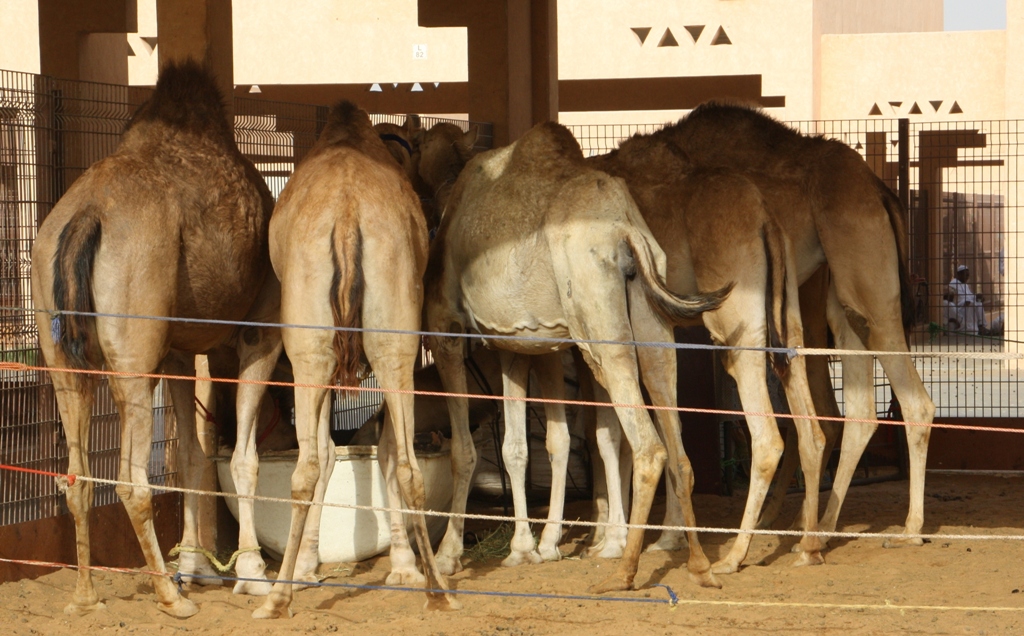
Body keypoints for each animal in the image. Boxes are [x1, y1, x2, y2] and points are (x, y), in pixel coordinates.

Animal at [30, 59, 282, 614]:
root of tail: (87, 214)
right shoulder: (261, 332)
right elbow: (242, 460)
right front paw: (252, 575)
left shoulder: (178, 352)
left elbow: (191, 457)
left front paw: (198, 566)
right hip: (133, 354)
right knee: (131, 481)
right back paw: (169, 596)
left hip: (62, 355)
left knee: (78, 478)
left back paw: (85, 597)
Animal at [254, 101, 452, 618]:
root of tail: (346, 216)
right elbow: (370, 451)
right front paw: (403, 567)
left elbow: (329, 453)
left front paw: (308, 565)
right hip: (390, 337)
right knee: (406, 464)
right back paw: (438, 591)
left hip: (310, 347)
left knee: (308, 465)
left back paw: (277, 596)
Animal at [421, 122, 729, 589]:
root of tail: (626, 232)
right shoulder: (513, 344)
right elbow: (516, 447)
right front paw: (522, 550)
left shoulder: (446, 330)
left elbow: (463, 452)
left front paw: (447, 556)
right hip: (652, 326)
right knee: (675, 441)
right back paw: (698, 565)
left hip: (596, 319)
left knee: (649, 447)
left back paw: (623, 571)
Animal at [589, 134, 827, 569]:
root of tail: (765, 217)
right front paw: (662, 537)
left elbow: (610, 434)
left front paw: (613, 541)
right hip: (789, 315)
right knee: (810, 430)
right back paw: (808, 547)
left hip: (735, 321)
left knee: (767, 438)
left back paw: (734, 555)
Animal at [655, 101, 937, 553]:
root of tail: (880, 190)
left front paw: (665, 535)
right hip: (840, 301)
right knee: (851, 411)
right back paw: (816, 525)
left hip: (863, 287)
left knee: (905, 402)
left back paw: (905, 529)